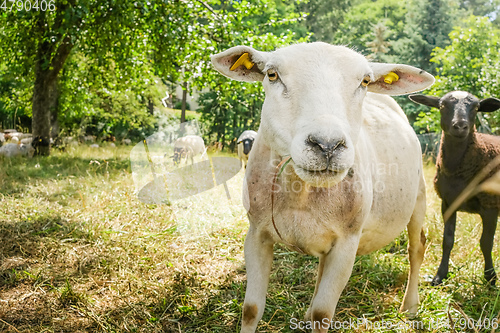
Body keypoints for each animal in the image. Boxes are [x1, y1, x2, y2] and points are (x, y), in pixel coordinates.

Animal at [211, 42, 434, 332]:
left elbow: (323, 314)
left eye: (365, 81)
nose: (327, 145)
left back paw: (410, 306)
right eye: (272, 74)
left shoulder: (347, 244)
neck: (299, 192)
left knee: (416, 247)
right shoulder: (256, 234)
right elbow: (251, 309)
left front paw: (315, 316)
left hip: (419, 197)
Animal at [410, 91, 500, 286]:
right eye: (442, 105)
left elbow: (486, 242)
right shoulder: (448, 203)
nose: (460, 126)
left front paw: (490, 277)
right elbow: (448, 240)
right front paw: (439, 276)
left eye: (476, 107)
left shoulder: (490, 205)